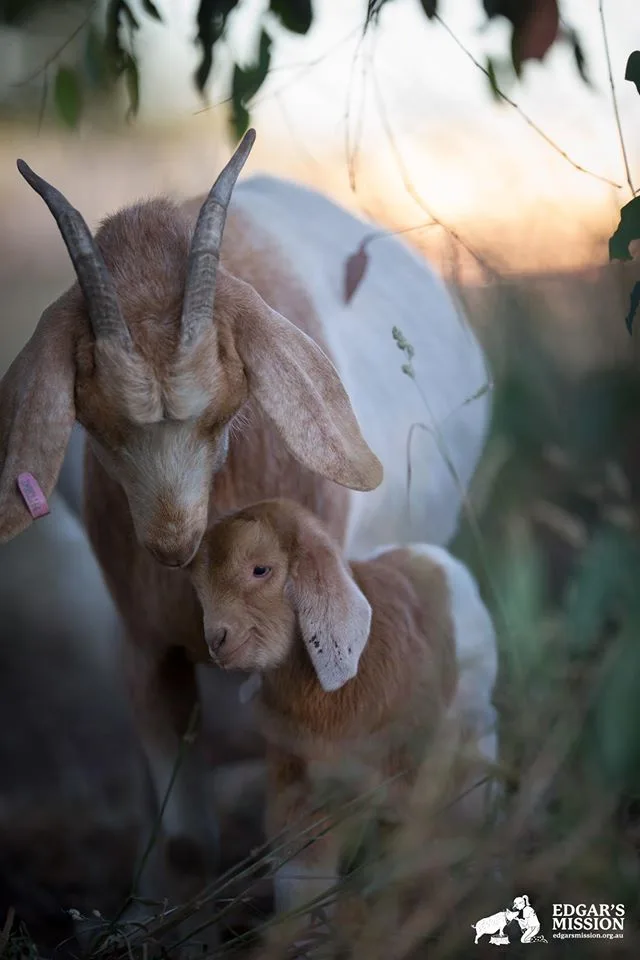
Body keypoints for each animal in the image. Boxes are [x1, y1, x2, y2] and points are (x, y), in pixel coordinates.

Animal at [187, 498, 499, 925]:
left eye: (261, 569)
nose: (217, 639)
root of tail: (428, 555)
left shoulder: (406, 774)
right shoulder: (295, 778)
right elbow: (301, 870)